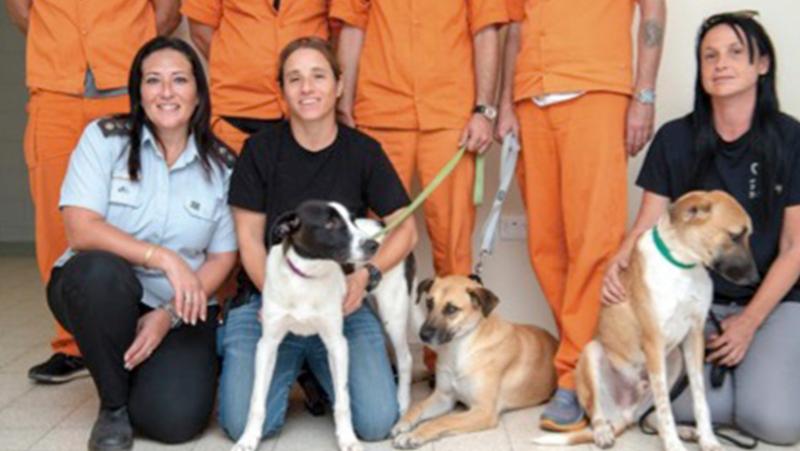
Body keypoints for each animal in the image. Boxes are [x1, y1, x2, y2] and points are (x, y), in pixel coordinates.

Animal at [233, 201, 416, 451]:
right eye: (330, 223)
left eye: (352, 220)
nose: (373, 245)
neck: (307, 277)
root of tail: (382, 224)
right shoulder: (267, 345)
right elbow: (256, 401)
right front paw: (248, 438)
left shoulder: (337, 344)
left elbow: (343, 400)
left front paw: (348, 439)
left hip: (393, 312)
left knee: (406, 359)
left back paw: (403, 403)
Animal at [390, 276, 556, 448]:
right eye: (429, 303)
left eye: (451, 309)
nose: (422, 335)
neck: (459, 349)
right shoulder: (444, 397)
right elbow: (417, 406)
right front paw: (403, 423)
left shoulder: (483, 411)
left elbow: (443, 421)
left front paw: (414, 434)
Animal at [536, 191, 760, 451]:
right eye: (735, 236)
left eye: (748, 235)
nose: (756, 280)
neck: (682, 265)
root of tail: (626, 414)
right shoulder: (654, 341)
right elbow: (665, 408)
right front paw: (673, 445)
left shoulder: (694, 336)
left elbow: (700, 399)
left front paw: (708, 439)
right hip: (593, 353)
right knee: (598, 412)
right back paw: (603, 431)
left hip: (674, 359)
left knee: (650, 416)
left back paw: (683, 430)